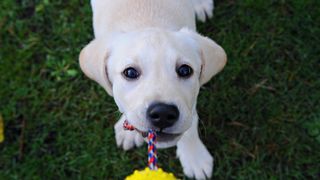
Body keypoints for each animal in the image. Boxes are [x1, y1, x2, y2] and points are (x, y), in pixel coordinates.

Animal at [79, 0, 228, 179]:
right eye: (130, 72)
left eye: (185, 70)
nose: (163, 114)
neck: (148, 20)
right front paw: (128, 130)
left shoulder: (191, 103)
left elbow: (191, 124)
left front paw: (194, 157)